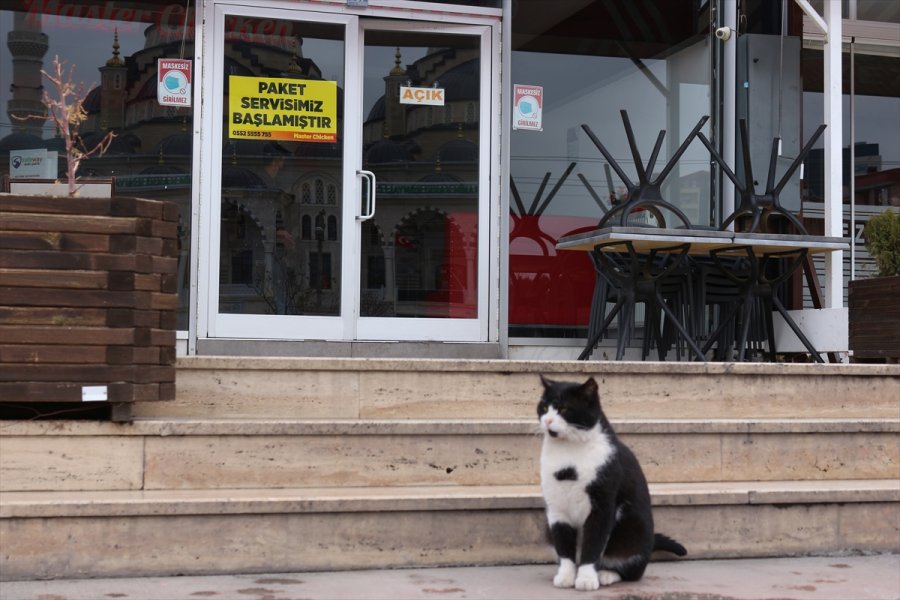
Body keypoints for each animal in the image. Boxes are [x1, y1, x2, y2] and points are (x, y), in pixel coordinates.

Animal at [536, 376, 684, 592]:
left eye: (564, 409)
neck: (569, 455)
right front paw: (566, 576)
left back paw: (606, 574)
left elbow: (593, 544)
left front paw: (586, 578)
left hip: (635, 531)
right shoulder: (556, 509)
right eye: (544, 407)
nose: (547, 420)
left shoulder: (603, 507)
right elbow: (564, 545)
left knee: (631, 571)